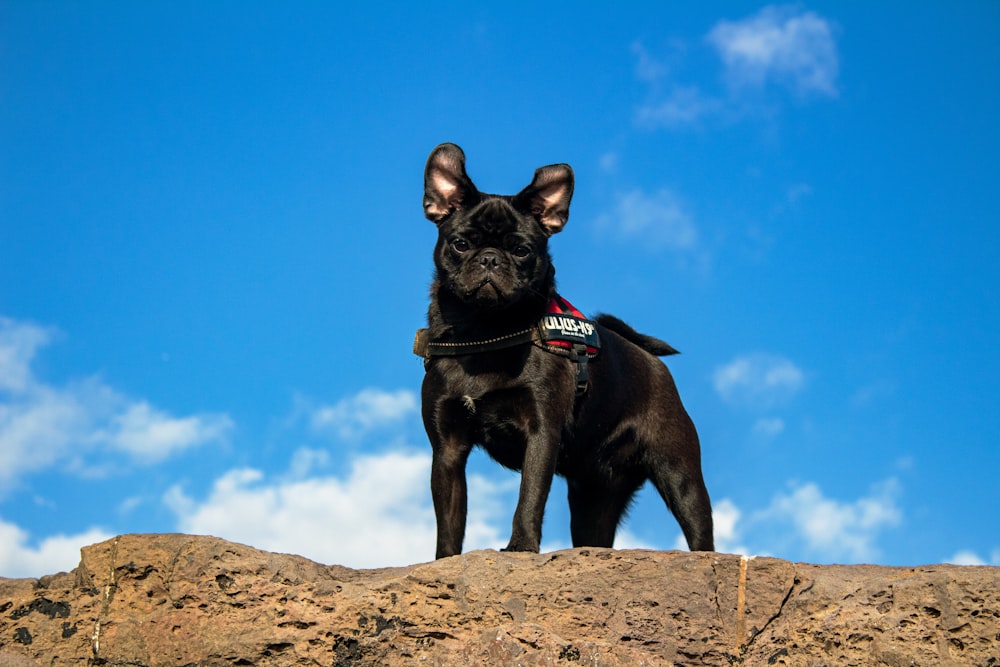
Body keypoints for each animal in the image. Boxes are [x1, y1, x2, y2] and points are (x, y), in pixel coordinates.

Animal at [414, 142, 712, 560]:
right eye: (460, 243)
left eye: (522, 250)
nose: (490, 258)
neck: (484, 329)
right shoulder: (448, 449)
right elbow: (449, 520)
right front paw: (446, 562)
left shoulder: (541, 433)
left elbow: (529, 498)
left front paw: (521, 547)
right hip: (592, 498)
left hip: (680, 474)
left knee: (701, 532)